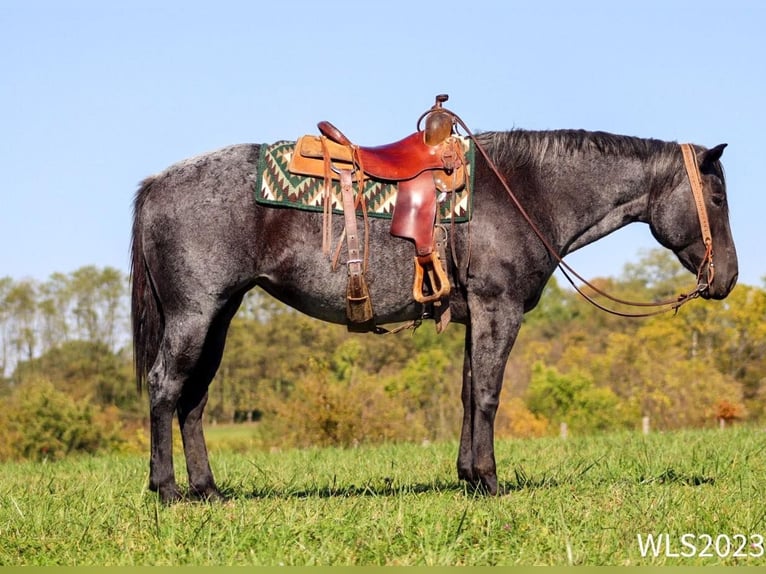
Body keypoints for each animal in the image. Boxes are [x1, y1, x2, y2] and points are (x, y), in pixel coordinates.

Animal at [130, 124, 736, 502]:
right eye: (719, 198)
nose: (726, 278)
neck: (524, 192)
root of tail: (156, 184)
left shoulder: (476, 318)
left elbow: (468, 394)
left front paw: (467, 477)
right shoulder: (499, 310)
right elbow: (488, 395)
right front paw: (489, 482)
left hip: (218, 316)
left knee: (194, 399)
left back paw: (208, 491)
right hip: (194, 315)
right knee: (165, 388)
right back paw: (168, 491)